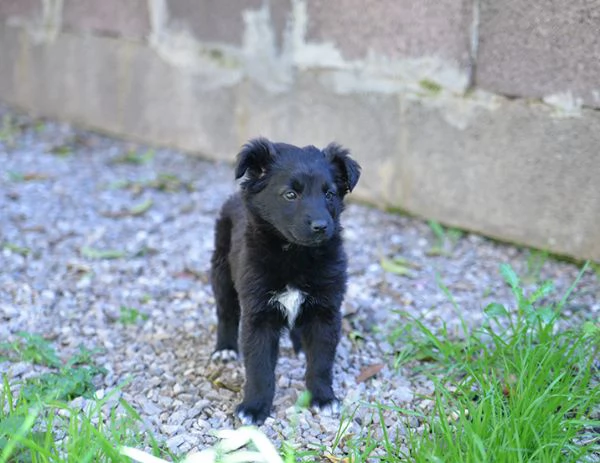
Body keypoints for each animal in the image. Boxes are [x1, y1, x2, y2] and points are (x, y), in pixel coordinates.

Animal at [211, 137, 360, 424]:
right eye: (290, 195)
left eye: (329, 194)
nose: (321, 226)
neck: (296, 255)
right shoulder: (258, 315)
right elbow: (259, 367)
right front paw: (255, 407)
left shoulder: (326, 310)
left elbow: (322, 362)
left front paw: (323, 398)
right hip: (221, 273)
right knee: (226, 313)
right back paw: (225, 349)